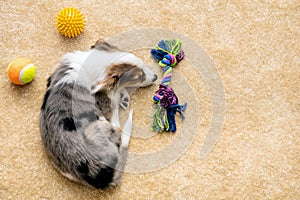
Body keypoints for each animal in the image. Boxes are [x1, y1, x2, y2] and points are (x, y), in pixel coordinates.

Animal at [39, 39, 159, 188]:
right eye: (140, 77)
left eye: (143, 65)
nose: (156, 77)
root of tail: (101, 176)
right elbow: (115, 93)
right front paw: (122, 94)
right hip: (99, 126)